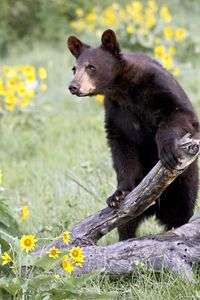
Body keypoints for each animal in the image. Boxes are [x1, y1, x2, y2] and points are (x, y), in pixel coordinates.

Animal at [68, 29, 199, 240]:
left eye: (91, 67)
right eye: (74, 68)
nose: (73, 86)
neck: (123, 89)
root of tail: (155, 209)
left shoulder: (159, 86)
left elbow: (179, 113)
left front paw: (167, 152)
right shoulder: (116, 112)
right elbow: (122, 149)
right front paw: (118, 195)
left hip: (184, 183)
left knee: (180, 211)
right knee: (126, 223)